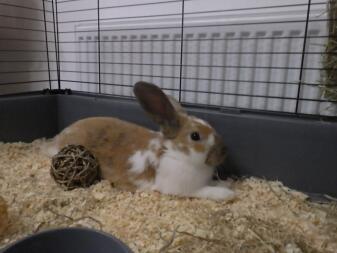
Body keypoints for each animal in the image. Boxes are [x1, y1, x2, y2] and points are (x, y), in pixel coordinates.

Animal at [48, 82, 234, 201]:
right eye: (195, 136)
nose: (225, 151)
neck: (176, 154)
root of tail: (58, 139)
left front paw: (228, 183)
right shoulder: (184, 188)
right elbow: (207, 191)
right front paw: (228, 194)